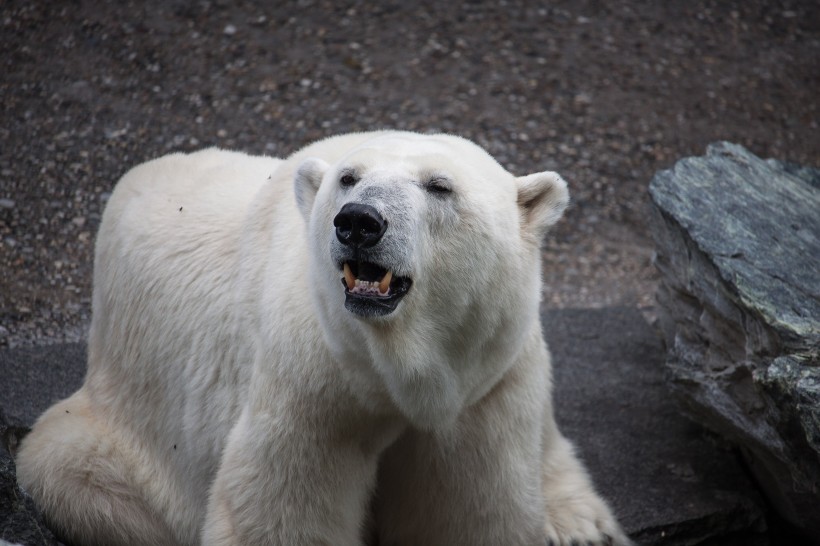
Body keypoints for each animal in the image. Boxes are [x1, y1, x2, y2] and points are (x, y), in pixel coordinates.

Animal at [16, 132, 632, 544]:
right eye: (348, 178)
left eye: (439, 186)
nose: (359, 221)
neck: (397, 372)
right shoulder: (312, 380)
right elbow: (282, 509)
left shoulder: (483, 387)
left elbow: (471, 507)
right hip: (120, 422)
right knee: (84, 479)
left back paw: (582, 523)